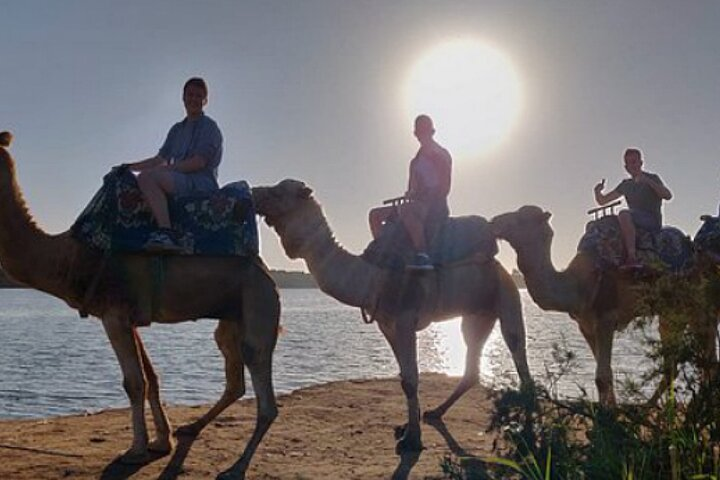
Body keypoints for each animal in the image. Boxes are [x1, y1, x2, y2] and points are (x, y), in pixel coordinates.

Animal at [0, 130, 278, 480]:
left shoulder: (114, 315)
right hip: (232, 317)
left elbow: (134, 383)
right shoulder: (128, 317)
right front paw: (161, 441)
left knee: (265, 396)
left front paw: (134, 450)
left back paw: (235, 468)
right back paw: (190, 428)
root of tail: (267, 272)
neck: (72, 257)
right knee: (234, 380)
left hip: (258, 302)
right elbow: (151, 377)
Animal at [250, 178, 532, 452]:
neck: (372, 276)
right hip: (477, 315)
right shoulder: (387, 324)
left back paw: (527, 434)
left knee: (519, 353)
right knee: (472, 365)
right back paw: (435, 412)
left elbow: (411, 379)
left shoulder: (406, 319)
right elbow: (403, 378)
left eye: (278, 191)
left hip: (507, 295)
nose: (253, 192)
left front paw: (412, 440)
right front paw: (407, 428)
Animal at [490, 205, 716, 404]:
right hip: (672, 311)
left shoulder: (606, 317)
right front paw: (609, 408)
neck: (579, 283)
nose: (494, 222)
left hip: (694, 306)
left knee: (705, 357)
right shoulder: (585, 324)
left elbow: (602, 376)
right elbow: (603, 373)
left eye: (521, 218)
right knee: (681, 363)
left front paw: (608, 415)